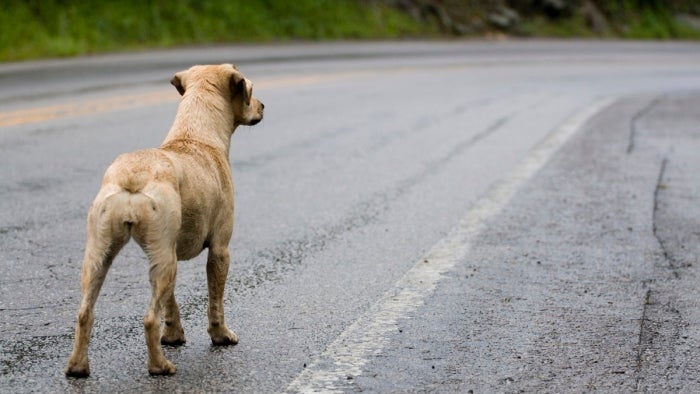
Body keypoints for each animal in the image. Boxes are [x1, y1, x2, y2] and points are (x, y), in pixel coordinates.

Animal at [65, 63, 264, 378]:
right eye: (251, 90)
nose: (263, 106)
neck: (196, 135)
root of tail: (133, 176)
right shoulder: (220, 250)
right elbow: (216, 301)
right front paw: (221, 336)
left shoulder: (164, 253)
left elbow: (170, 303)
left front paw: (173, 335)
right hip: (161, 259)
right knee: (148, 319)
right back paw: (159, 366)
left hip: (104, 255)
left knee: (85, 312)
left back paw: (77, 367)